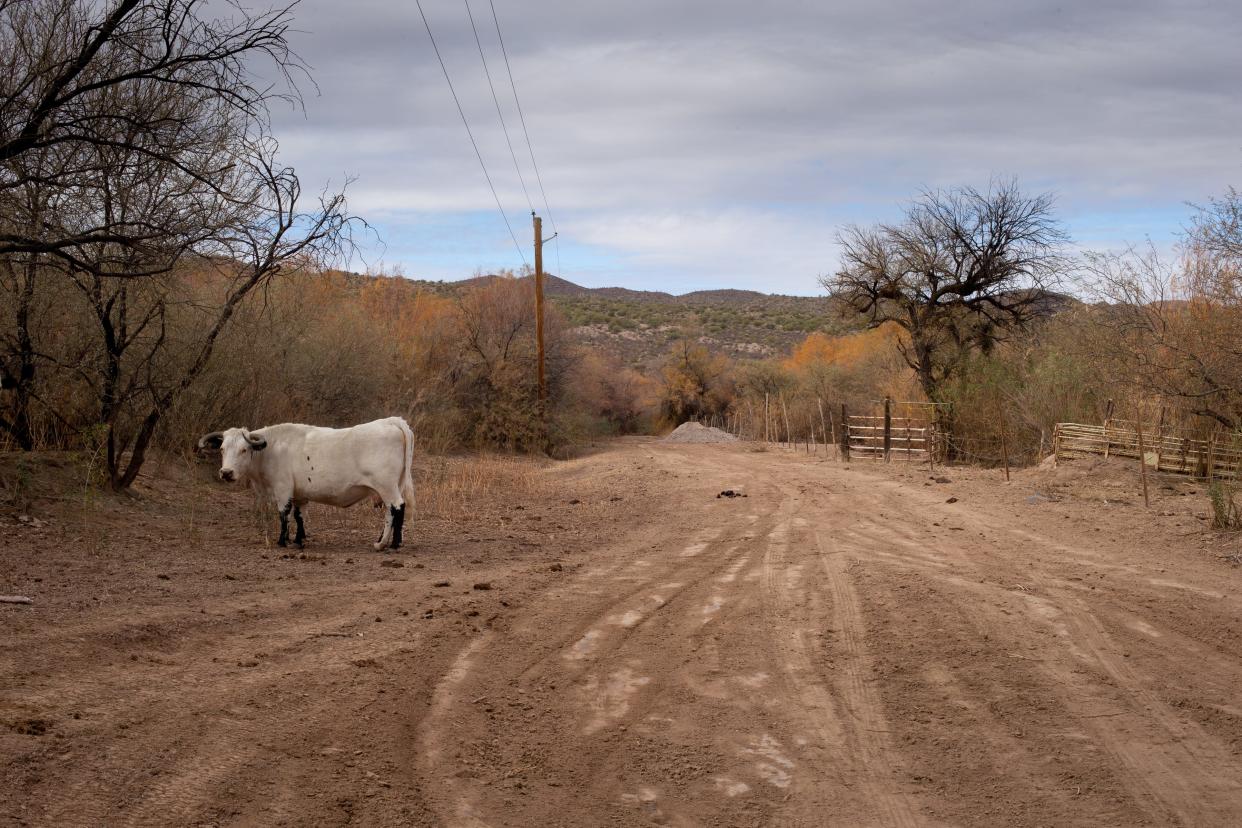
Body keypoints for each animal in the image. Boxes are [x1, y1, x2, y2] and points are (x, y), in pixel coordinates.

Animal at [196, 414, 414, 551]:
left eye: (243, 449)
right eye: (222, 449)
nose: (226, 473)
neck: (271, 448)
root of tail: (391, 421)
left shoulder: (282, 489)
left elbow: (284, 514)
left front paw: (282, 541)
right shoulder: (299, 493)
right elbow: (299, 515)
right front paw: (298, 540)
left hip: (386, 486)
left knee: (397, 508)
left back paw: (390, 544)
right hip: (391, 486)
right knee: (391, 512)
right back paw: (386, 541)